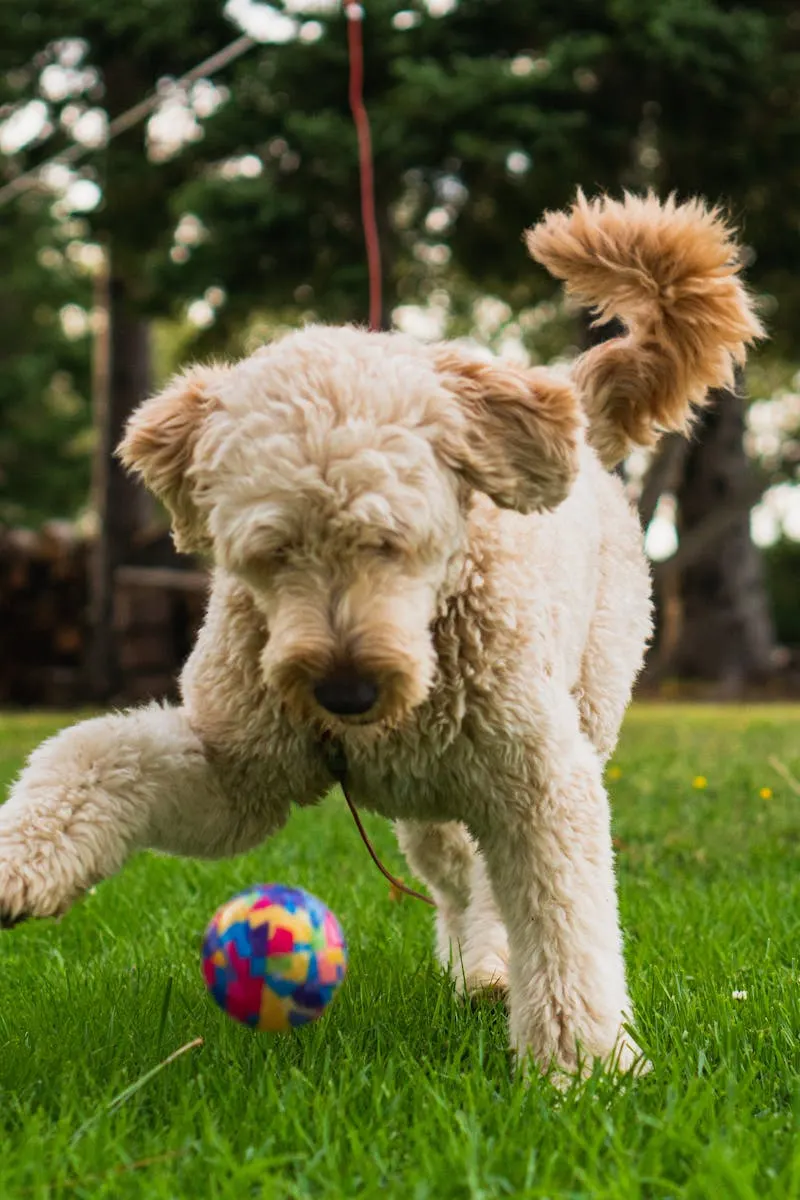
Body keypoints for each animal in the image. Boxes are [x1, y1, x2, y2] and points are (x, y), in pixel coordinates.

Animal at [0, 194, 762, 1080]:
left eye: (392, 541)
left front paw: (584, 1070)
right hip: (432, 809)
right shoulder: (238, 774)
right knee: (461, 878)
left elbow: (564, 925)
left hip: (583, 703)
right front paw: (20, 865)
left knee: (498, 882)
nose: (346, 692)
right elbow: (95, 755)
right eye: (271, 552)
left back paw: (500, 979)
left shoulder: (541, 781)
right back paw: (481, 967)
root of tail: (571, 398)